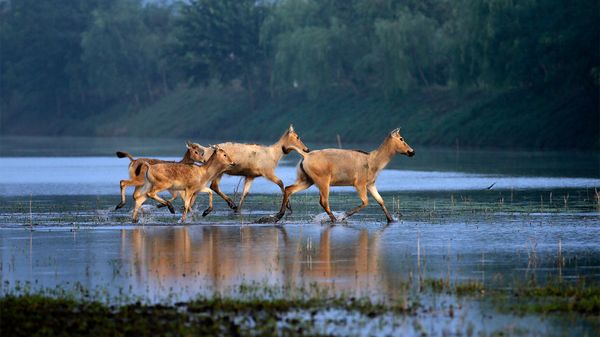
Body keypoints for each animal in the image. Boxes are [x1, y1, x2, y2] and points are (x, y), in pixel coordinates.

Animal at [270, 129, 414, 223]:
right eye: (401, 138)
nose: (411, 151)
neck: (375, 162)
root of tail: (305, 155)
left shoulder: (371, 184)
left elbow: (381, 200)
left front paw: (391, 219)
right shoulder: (359, 183)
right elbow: (366, 202)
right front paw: (344, 215)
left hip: (307, 180)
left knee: (288, 188)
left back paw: (278, 215)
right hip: (323, 181)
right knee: (323, 201)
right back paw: (335, 219)